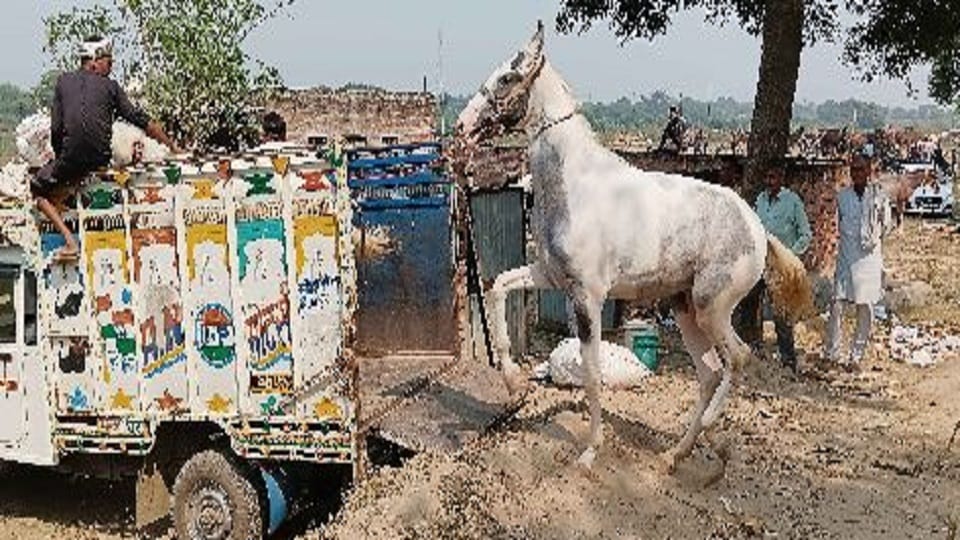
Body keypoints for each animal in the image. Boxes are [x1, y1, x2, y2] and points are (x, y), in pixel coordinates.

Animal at [455, 22, 813, 470]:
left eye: (507, 77)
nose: (461, 126)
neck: (574, 185)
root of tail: (759, 231)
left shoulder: (588, 296)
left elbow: (592, 374)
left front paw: (590, 452)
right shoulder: (550, 276)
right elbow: (499, 286)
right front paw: (511, 379)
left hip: (711, 308)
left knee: (738, 358)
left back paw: (710, 431)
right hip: (686, 309)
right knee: (709, 373)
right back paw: (678, 454)